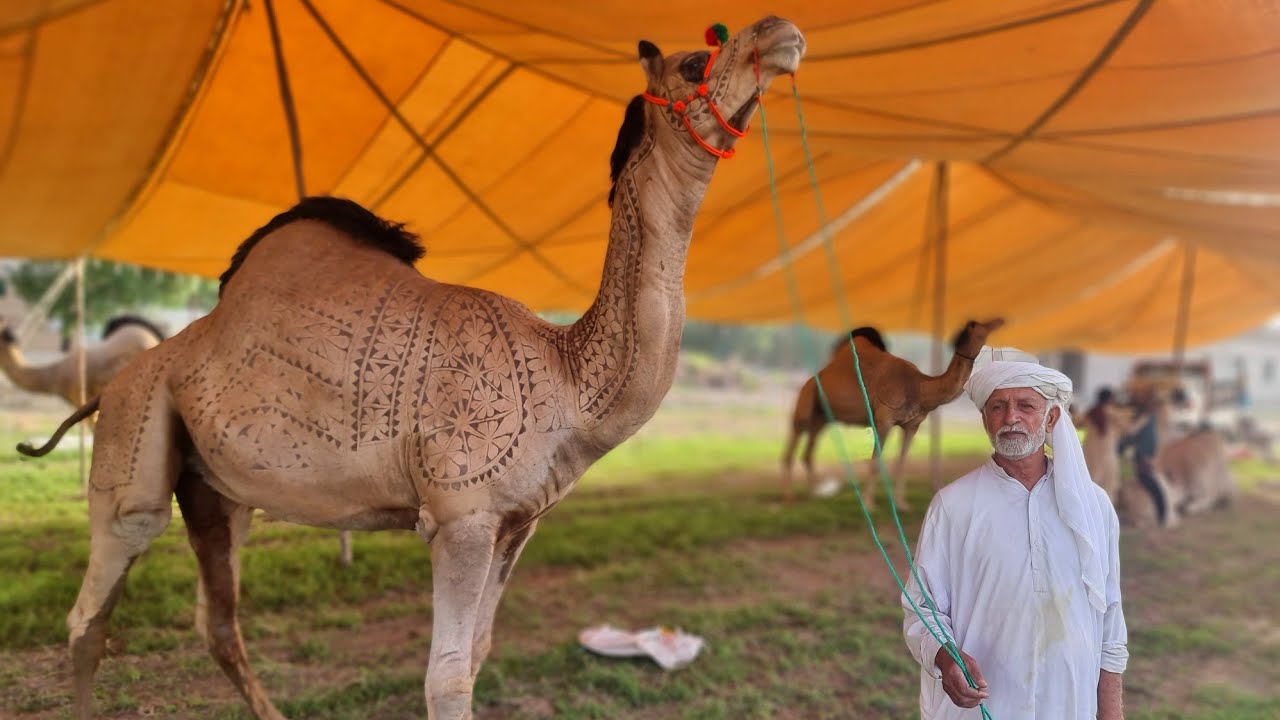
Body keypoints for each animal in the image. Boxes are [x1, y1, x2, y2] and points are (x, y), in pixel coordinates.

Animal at [20, 17, 805, 720]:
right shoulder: (460, 516)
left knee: (214, 619)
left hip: (214, 488)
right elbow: (448, 678)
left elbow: (480, 653)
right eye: (697, 60)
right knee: (92, 611)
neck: (568, 380)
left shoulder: (517, 523)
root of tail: (109, 388)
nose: (781, 31)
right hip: (136, 435)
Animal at [781, 318, 1005, 509]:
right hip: (806, 401)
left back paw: (815, 494)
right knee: (791, 447)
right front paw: (868, 504)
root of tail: (812, 379)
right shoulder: (883, 420)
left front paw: (901, 504)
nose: (998, 321)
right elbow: (875, 461)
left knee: (808, 453)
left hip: (822, 418)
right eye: (974, 324)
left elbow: (901, 462)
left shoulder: (912, 425)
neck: (920, 387)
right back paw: (790, 496)